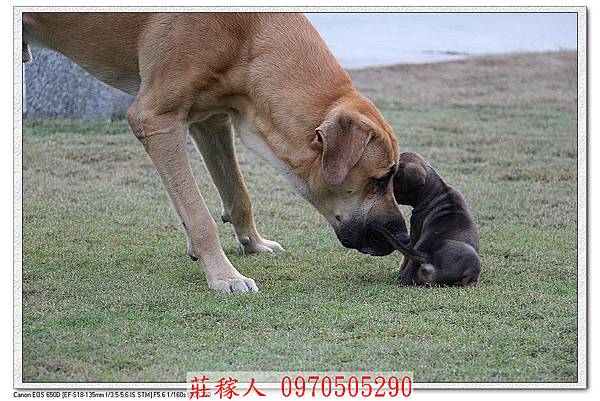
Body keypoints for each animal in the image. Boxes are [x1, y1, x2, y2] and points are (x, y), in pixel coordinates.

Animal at [22, 12, 408, 292]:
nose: (404, 236)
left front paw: (252, 244)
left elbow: (237, 193)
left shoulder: (212, 120)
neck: (249, 35)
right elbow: (199, 214)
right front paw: (225, 276)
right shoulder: (157, 120)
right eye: (379, 179)